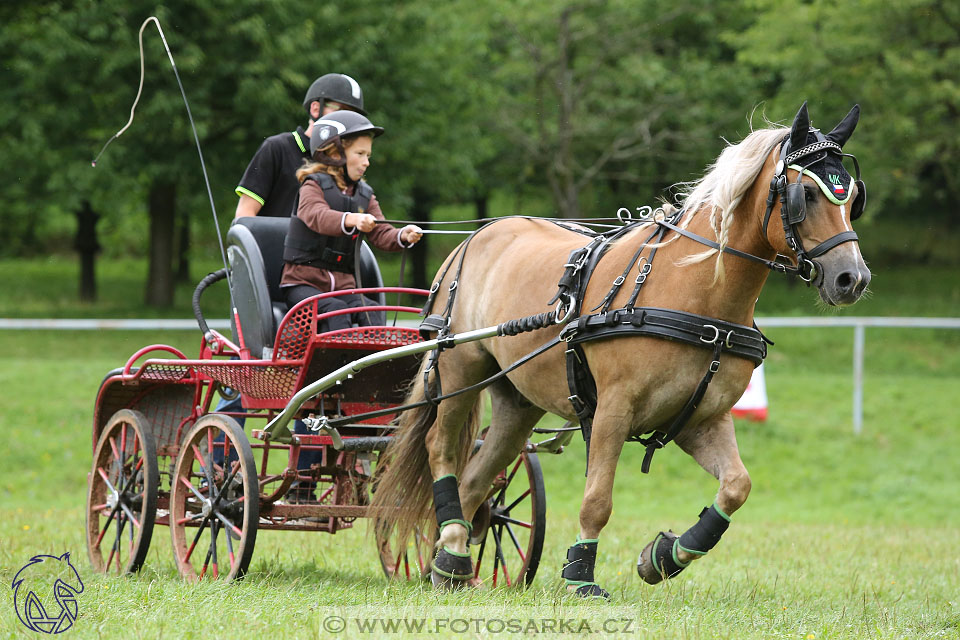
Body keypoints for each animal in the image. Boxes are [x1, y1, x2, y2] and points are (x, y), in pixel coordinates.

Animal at [372, 102, 872, 596]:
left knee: (479, 474)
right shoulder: (613, 408)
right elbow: (597, 499)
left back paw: (450, 560)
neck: (693, 293)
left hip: (517, 399)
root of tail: (476, 237)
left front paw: (665, 555)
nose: (853, 279)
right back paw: (452, 545)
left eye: (852, 199)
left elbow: (737, 486)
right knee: (442, 449)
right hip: (461, 367)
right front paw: (580, 574)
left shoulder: (702, 419)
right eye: (806, 196)